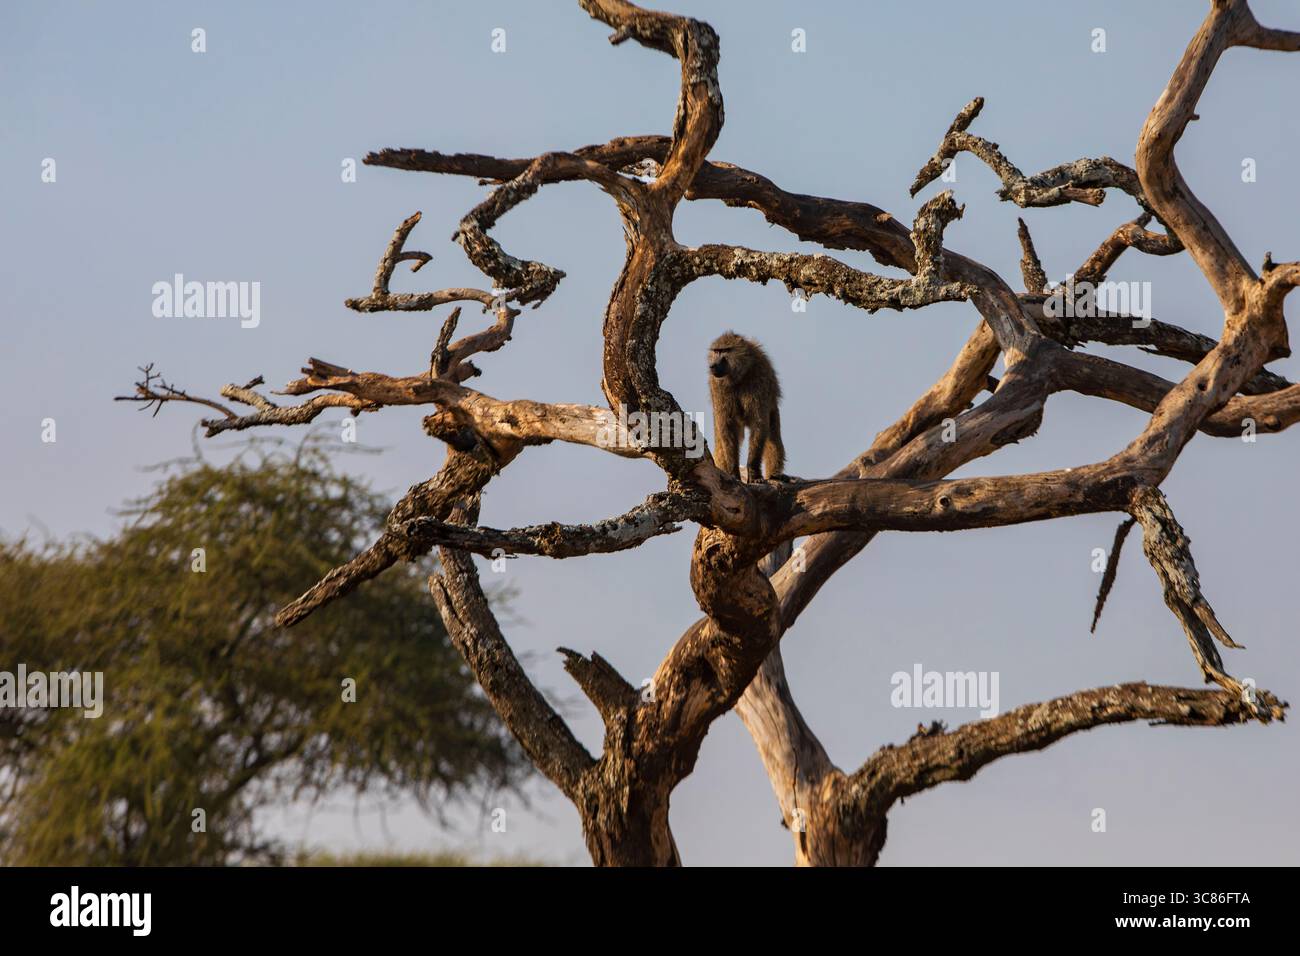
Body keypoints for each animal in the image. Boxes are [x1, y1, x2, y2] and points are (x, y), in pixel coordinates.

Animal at [707, 331, 785, 482]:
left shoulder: (760, 377)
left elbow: (759, 424)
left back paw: (774, 475)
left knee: (773, 437)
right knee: (720, 441)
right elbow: (727, 426)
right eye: (716, 351)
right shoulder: (717, 385)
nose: (712, 366)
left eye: (725, 351)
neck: (740, 374)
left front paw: (754, 473)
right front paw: (733, 472)